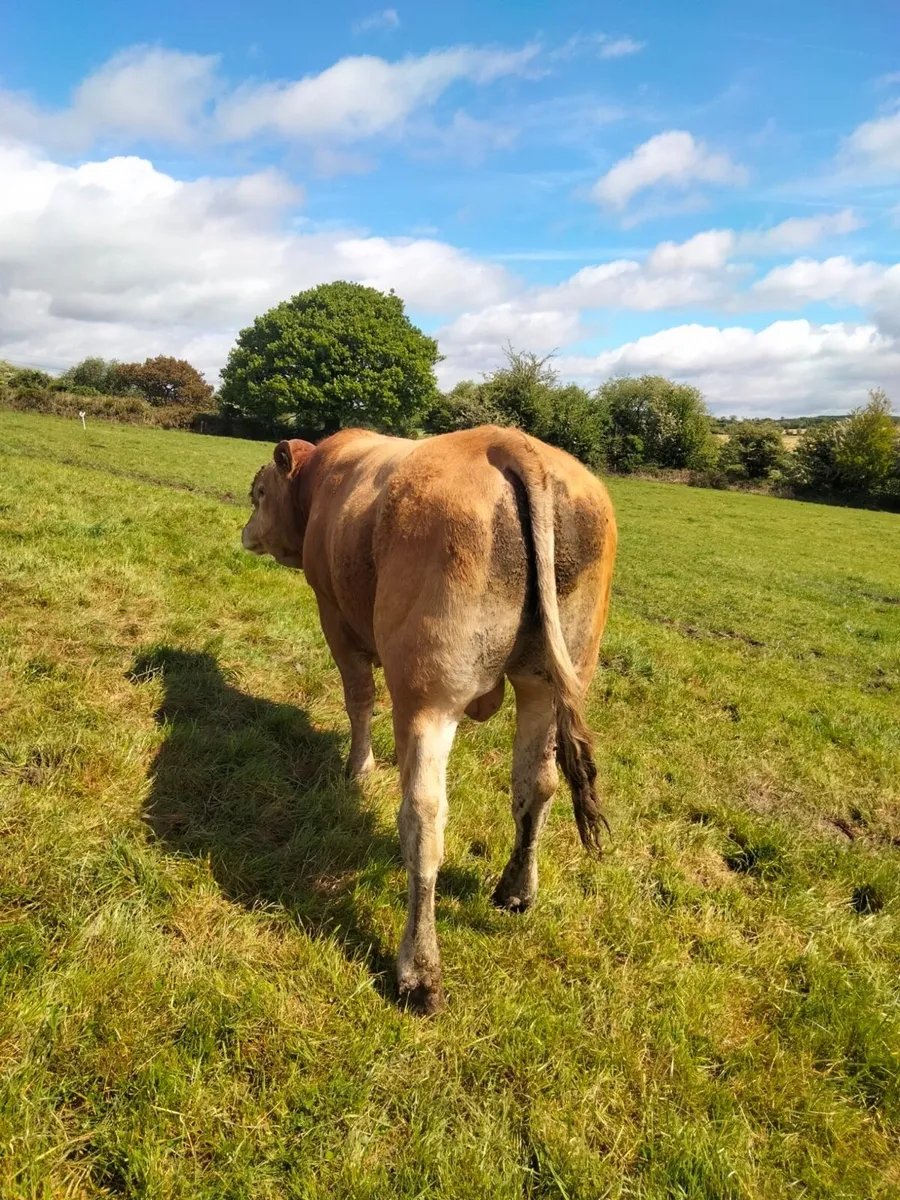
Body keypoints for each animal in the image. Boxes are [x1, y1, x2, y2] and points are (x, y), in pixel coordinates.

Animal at [241, 425, 617, 1014]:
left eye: (259, 492)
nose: (245, 531)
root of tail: (510, 443)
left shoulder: (334, 619)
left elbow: (358, 699)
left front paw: (359, 770)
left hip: (428, 698)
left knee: (423, 816)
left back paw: (418, 971)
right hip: (546, 681)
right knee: (537, 784)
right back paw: (516, 890)